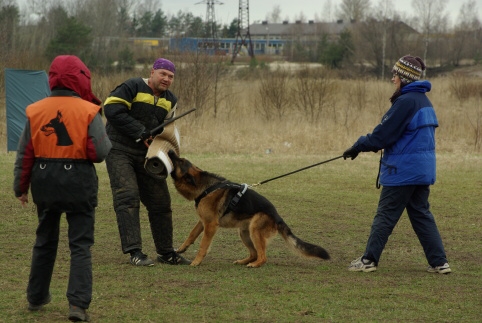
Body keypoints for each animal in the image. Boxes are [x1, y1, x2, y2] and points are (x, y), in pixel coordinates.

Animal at [168, 151, 330, 268]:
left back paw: (254, 264)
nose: (170, 151)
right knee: (254, 253)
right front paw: (181, 249)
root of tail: (277, 217)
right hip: (244, 233)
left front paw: (196, 261)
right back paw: (243, 261)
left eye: (180, 161)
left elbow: (203, 245)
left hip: (254, 230)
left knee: (262, 256)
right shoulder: (203, 222)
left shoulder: (211, 225)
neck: (205, 187)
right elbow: (191, 235)